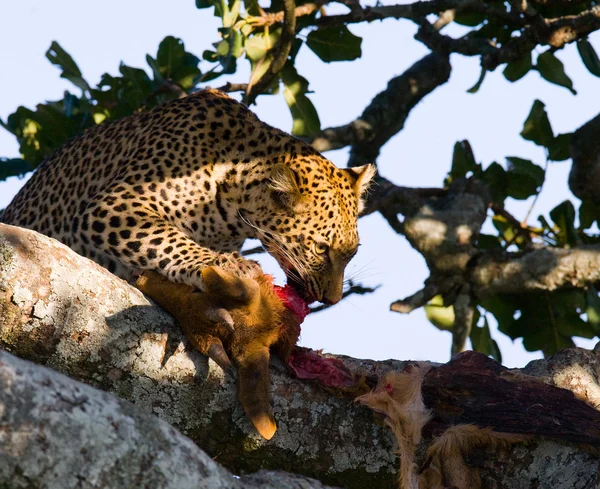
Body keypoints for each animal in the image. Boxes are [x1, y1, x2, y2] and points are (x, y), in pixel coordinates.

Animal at [1, 87, 376, 304]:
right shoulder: (116, 203)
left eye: (352, 253)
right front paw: (225, 265)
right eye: (321, 249)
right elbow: (166, 239)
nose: (331, 300)